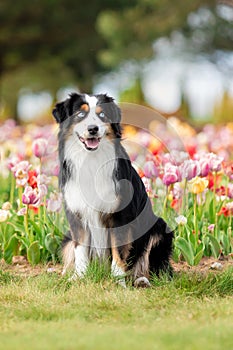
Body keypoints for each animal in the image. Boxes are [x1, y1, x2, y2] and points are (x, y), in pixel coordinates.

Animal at [52, 93, 173, 288]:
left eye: (102, 115)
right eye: (80, 114)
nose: (93, 129)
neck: (91, 160)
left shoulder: (120, 216)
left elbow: (119, 252)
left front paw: (118, 282)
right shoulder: (76, 214)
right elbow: (80, 251)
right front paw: (79, 277)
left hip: (159, 229)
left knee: (153, 267)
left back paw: (142, 279)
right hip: (67, 237)